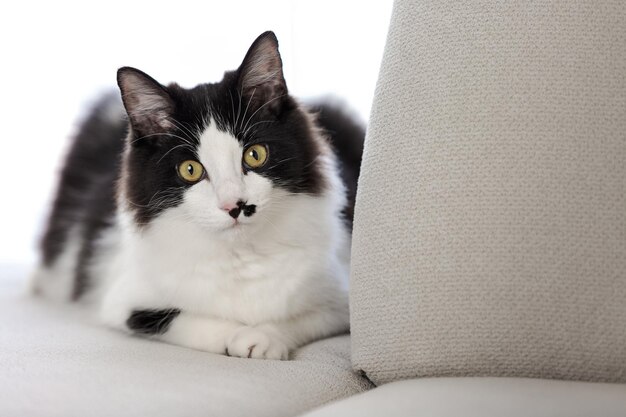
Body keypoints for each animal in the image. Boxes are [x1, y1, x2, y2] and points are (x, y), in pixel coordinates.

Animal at [31, 30, 364, 360]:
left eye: (255, 155)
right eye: (190, 170)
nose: (235, 205)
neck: (241, 254)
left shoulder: (341, 298)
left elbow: (303, 317)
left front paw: (264, 337)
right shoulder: (124, 301)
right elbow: (185, 320)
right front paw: (238, 336)